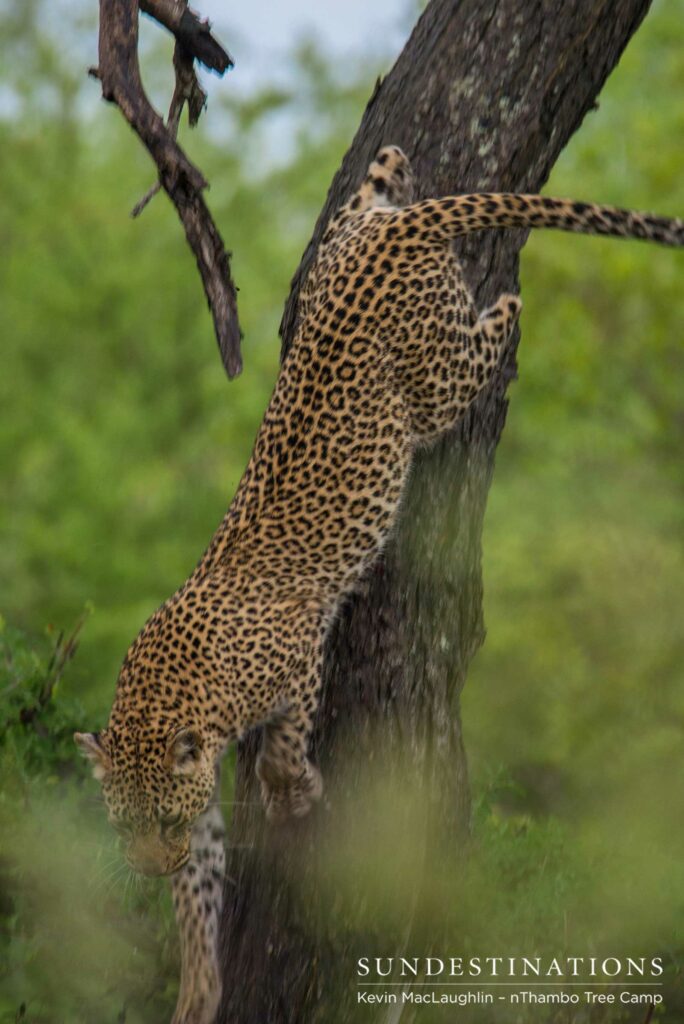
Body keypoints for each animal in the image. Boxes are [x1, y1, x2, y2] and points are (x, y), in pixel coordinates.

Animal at [75, 145, 683, 1023]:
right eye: (123, 823)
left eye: (158, 816)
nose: (148, 866)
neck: (169, 695)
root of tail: (400, 234)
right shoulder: (208, 788)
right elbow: (202, 889)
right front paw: (198, 985)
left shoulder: (298, 659)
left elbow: (282, 748)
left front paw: (297, 793)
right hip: (343, 253)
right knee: (367, 198)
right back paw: (387, 172)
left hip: (431, 382)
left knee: (479, 346)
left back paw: (510, 300)